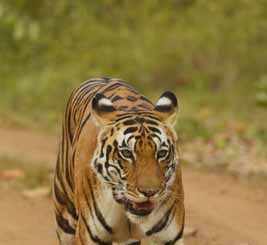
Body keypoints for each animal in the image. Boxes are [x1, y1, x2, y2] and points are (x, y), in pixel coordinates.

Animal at [53, 78, 185, 245]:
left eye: (161, 153)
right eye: (127, 153)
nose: (149, 192)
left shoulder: (168, 238)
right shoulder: (90, 237)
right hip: (65, 214)